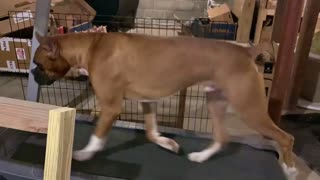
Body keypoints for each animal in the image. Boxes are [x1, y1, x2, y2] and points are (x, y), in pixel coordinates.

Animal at [31, 31, 298, 175]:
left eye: (39, 64)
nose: (32, 74)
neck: (93, 45)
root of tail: (247, 52)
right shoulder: (148, 102)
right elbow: (151, 133)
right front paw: (168, 144)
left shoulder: (111, 107)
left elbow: (97, 136)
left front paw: (84, 154)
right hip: (216, 102)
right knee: (223, 138)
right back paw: (201, 157)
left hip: (249, 109)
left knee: (286, 138)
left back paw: (291, 169)